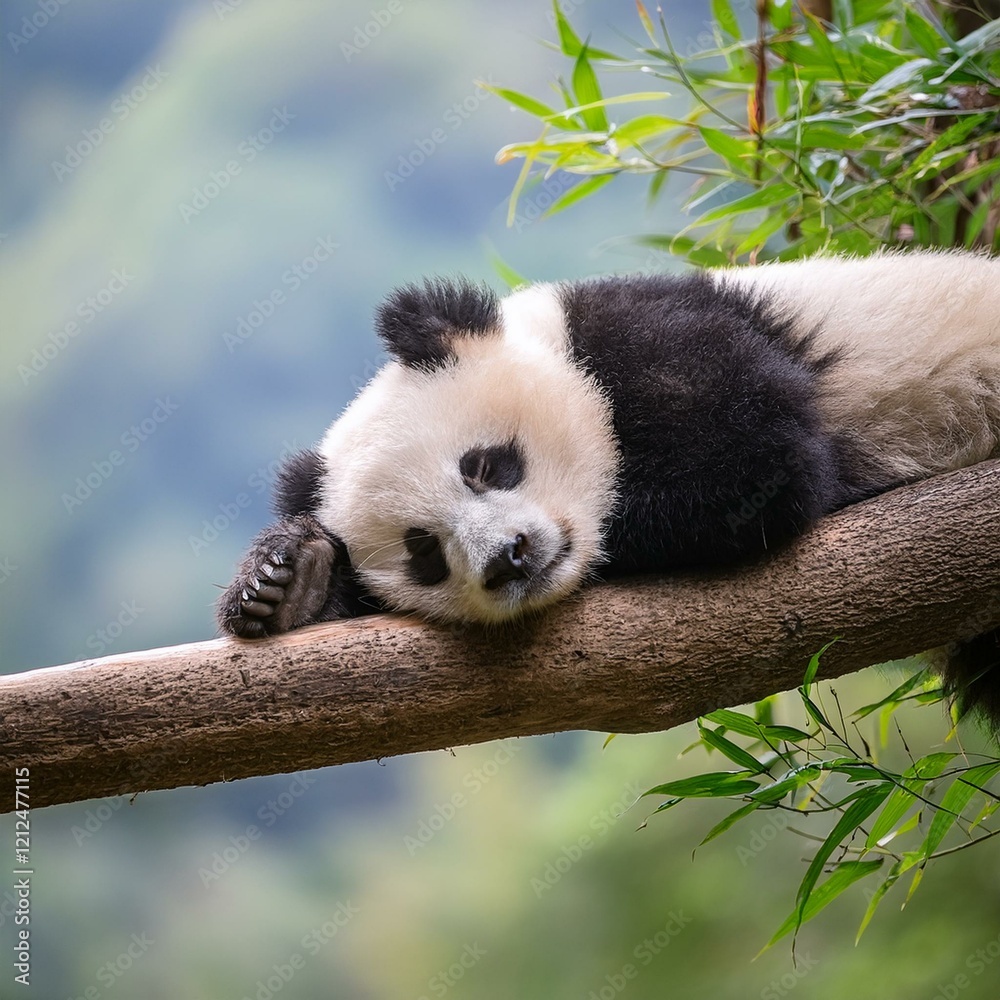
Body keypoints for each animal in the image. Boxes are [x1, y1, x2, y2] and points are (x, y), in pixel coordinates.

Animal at [218, 250, 1000, 718]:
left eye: (484, 465)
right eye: (424, 553)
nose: (509, 560)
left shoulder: (650, 337)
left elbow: (755, 466)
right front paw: (290, 582)